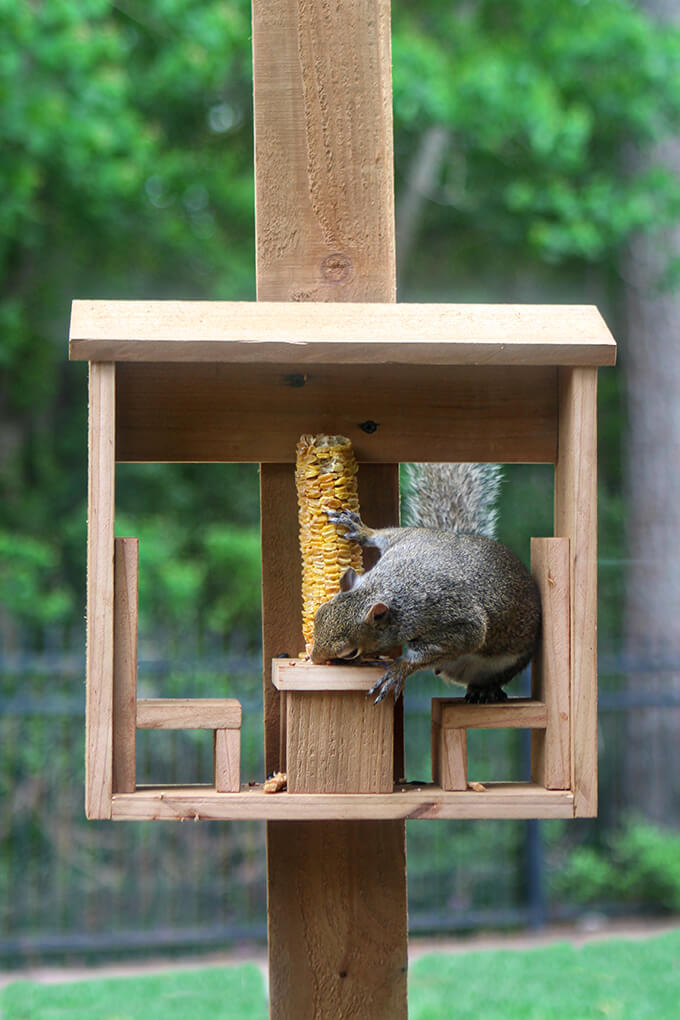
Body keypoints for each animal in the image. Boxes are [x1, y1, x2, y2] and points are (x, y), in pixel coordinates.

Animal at [309, 463, 542, 701]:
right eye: (319, 615)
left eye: (350, 653)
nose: (314, 659)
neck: (387, 585)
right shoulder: (411, 538)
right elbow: (384, 534)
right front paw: (359, 528)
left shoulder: (456, 621)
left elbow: (462, 639)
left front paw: (398, 670)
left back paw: (483, 690)